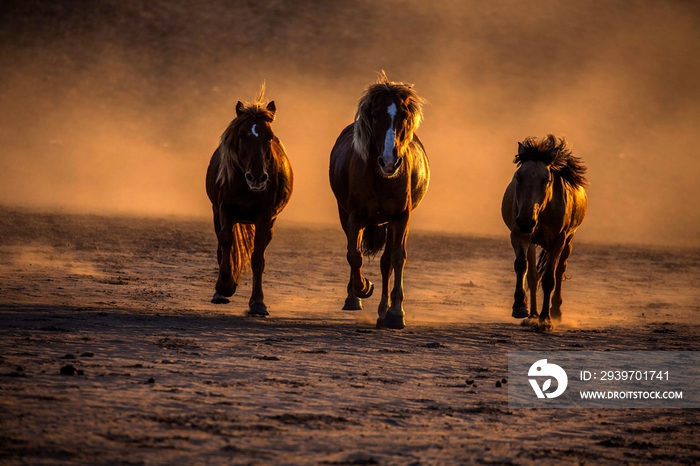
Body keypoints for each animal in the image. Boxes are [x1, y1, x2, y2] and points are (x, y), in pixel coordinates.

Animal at [205, 83, 292, 316]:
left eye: (269, 136)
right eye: (242, 136)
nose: (257, 177)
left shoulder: (264, 217)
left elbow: (257, 258)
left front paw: (258, 303)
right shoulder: (225, 209)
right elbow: (226, 241)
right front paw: (225, 286)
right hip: (217, 214)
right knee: (222, 245)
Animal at [330, 73, 430, 330]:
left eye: (404, 115)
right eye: (375, 115)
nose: (389, 162)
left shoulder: (401, 217)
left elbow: (397, 258)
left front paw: (396, 313)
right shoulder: (354, 217)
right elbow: (354, 255)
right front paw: (363, 288)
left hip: (391, 223)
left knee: (386, 262)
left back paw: (384, 311)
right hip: (348, 216)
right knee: (354, 252)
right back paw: (354, 298)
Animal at [500, 135, 588, 324]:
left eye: (546, 180)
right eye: (518, 177)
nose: (525, 222)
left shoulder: (558, 241)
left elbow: (549, 278)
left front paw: (546, 317)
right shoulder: (519, 235)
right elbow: (522, 266)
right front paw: (519, 306)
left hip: (569, 240)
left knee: (560, 270)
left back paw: (555, 311)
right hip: (532, 241)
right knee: (533, 275)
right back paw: (533, 314)